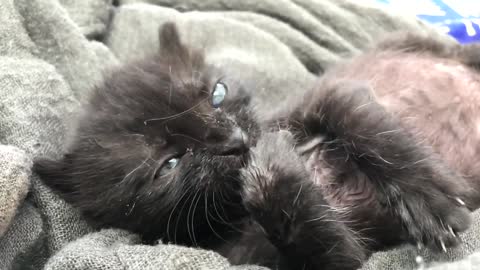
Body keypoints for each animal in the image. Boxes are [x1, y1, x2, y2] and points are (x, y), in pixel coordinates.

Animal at [33, 23, 476, 270]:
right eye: (170, 164)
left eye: (217, 94)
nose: (234, 142)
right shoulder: (315, 257)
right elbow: (322, 246)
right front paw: (271, 164)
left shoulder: (331, 94)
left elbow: (367, 126)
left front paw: (431, 201)